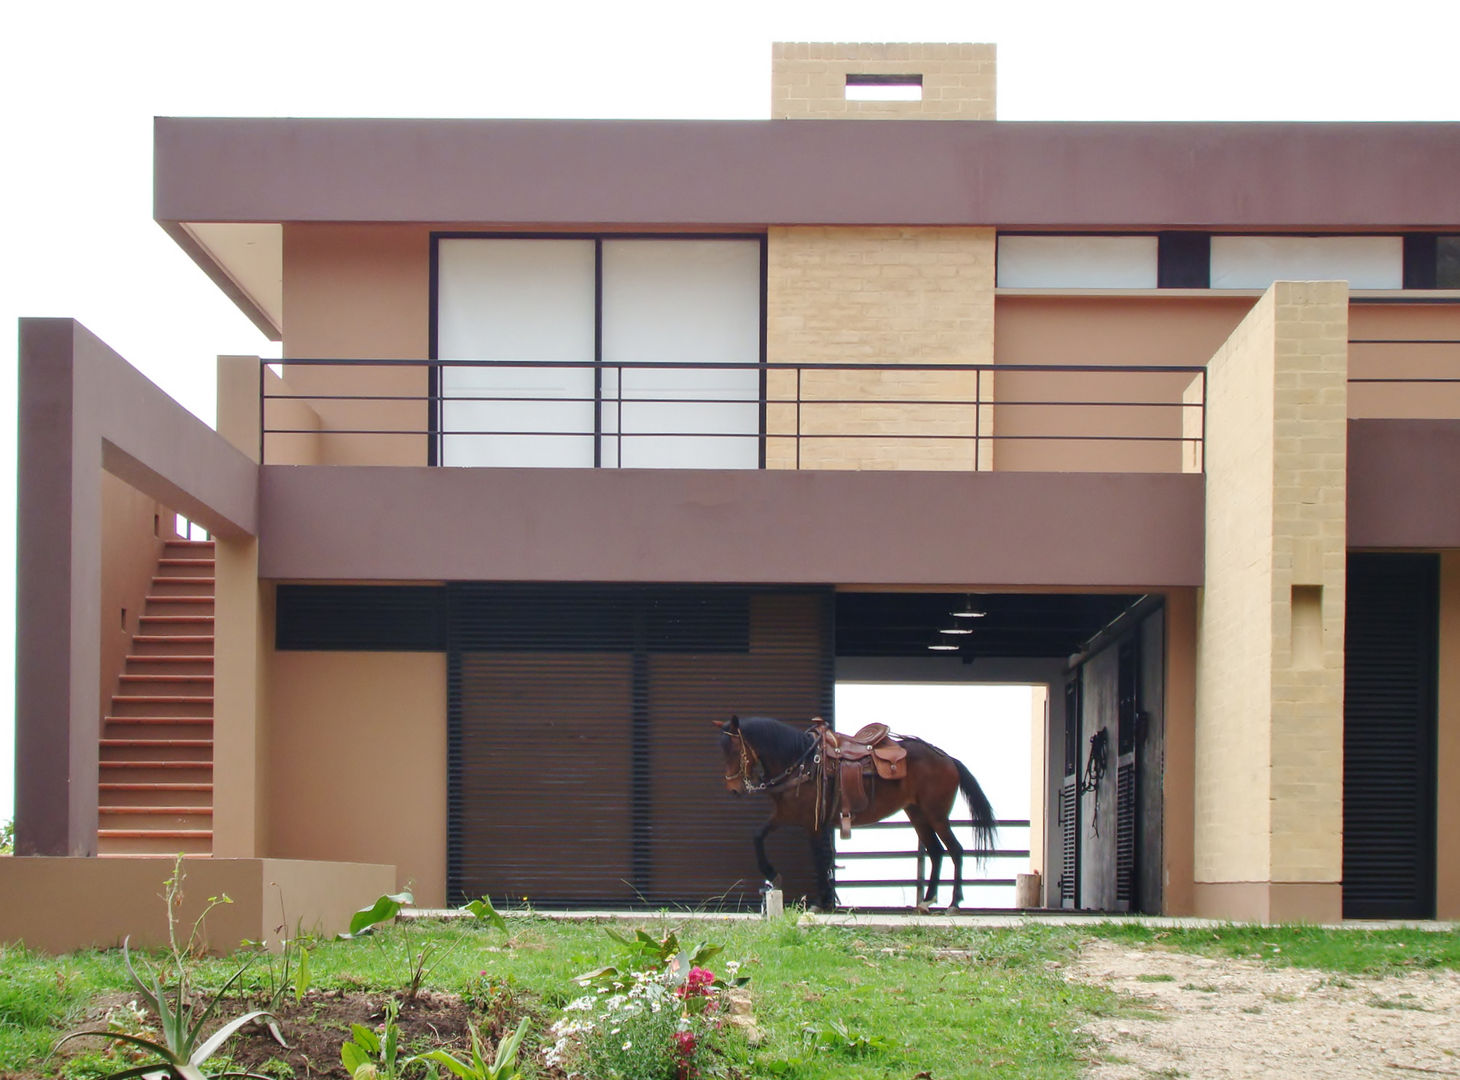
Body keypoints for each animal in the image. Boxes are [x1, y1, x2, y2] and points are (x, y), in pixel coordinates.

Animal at [715, 718, 998, 910]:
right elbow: (758, 836)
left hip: (936, 815)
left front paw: (822, 901)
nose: (733, 789)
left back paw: (954, 902)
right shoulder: (786, 815)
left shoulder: (811, 822)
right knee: (936, 851)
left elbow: (819, 857)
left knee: (955, 850)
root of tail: (948, 759)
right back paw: (927, 900)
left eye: (735, 750)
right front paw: (773, 874)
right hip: (917, 814)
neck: (802, 762)